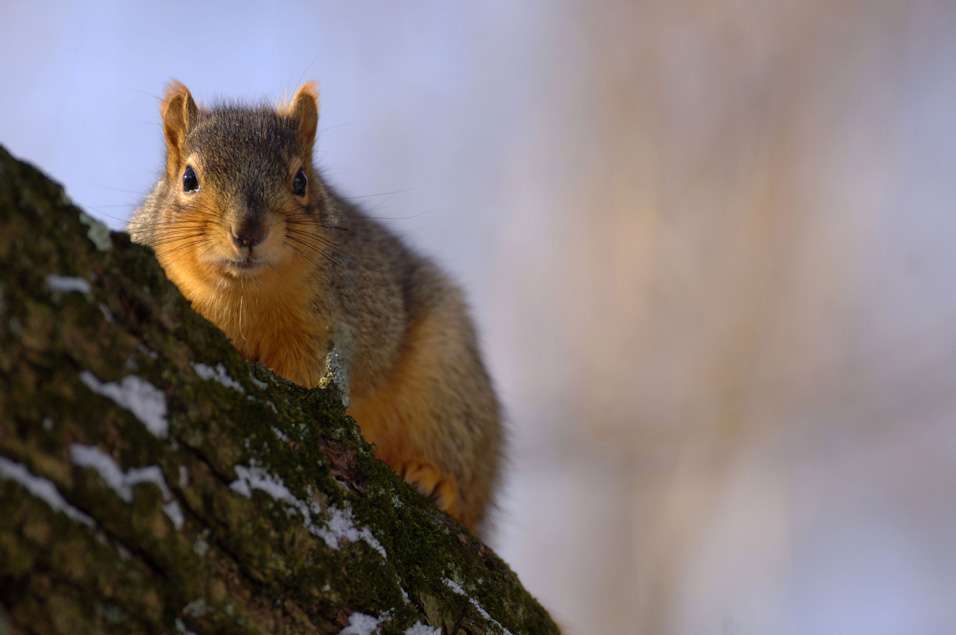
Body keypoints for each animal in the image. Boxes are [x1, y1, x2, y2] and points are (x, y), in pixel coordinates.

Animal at [128, 82, 503, 533]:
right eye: (188, 179)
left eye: (300, 180)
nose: (248, 232)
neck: (242, 299)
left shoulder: (325, 329)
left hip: (447, 380)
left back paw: (434, 479)